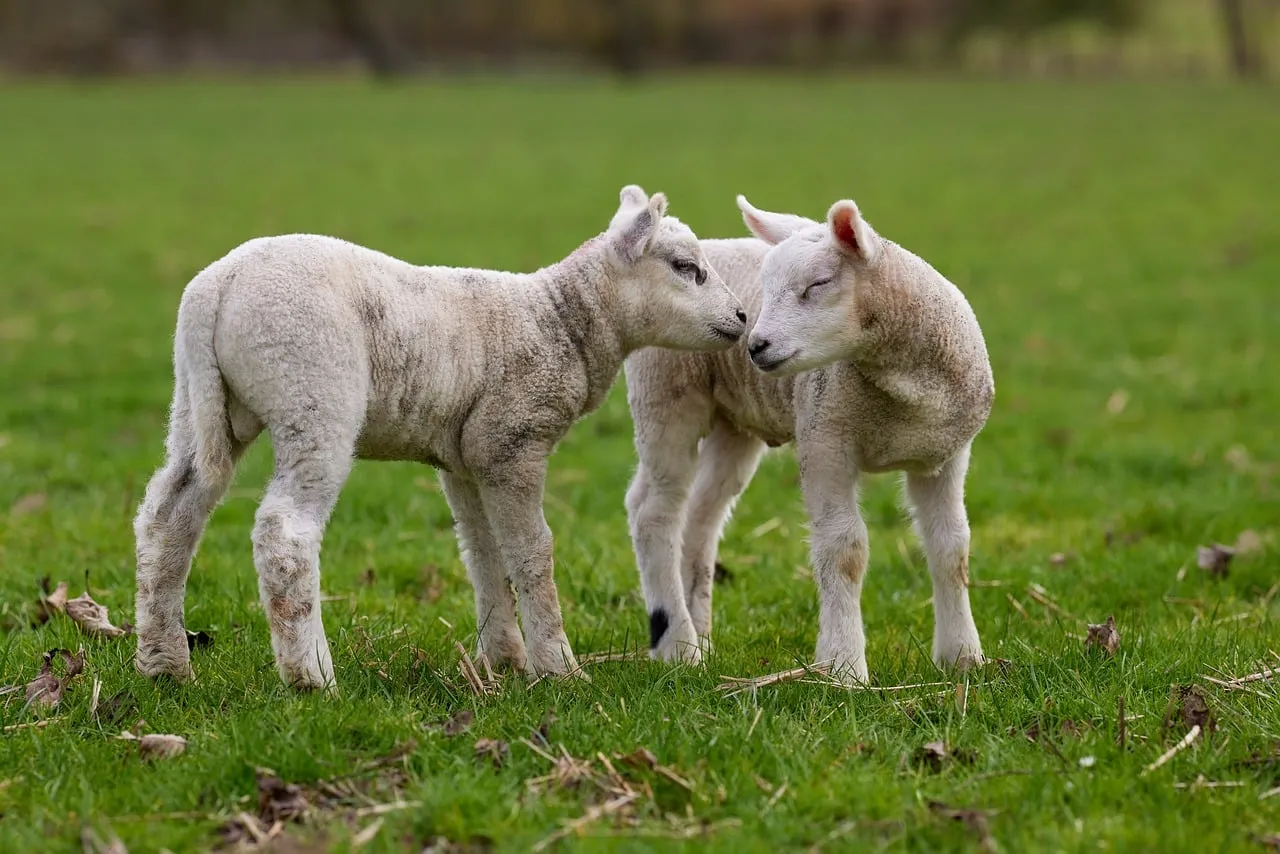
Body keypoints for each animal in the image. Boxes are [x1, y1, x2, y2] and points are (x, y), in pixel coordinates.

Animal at [132, 185, 747, 690]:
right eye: (685, 266)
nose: (742, 317)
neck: (562, 321)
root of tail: (218, 287)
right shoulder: (513, 443)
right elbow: (533, 554)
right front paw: (559, 667)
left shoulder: (468, 458)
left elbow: (483, 553)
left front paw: (504, 662)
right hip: (313, 394)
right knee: (284, 532)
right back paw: (311, 677)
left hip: (201, 403)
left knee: (169, 513)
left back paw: (165, 663)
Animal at [623, 195, 993, 683]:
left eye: (819, 283)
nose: (754, 345)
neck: (905, 392)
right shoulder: (826, 440)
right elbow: (845, 549)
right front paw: (844, 666)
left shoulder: (946, 457)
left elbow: (952, 548)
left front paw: (963, 657)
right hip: (665, 395)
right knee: (653, 511)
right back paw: (679, 646)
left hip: (733, 423)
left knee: (701, 517)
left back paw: (701, 637)